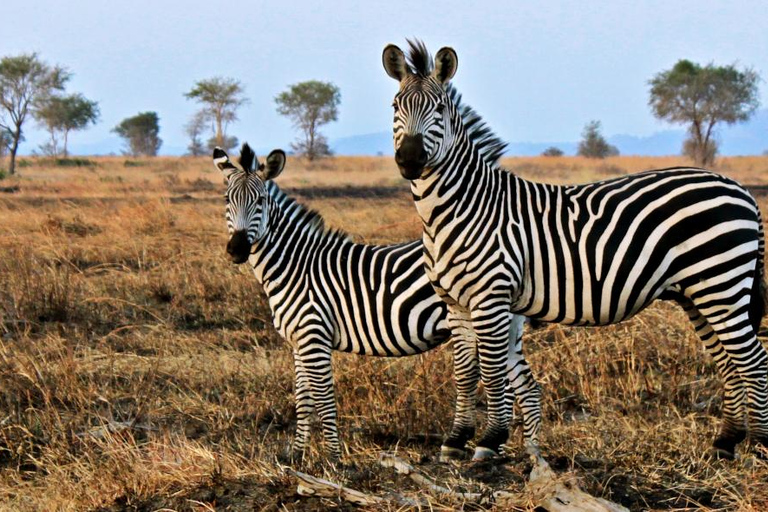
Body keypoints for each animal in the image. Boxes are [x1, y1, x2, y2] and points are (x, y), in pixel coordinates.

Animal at [213, 143, 544, 460]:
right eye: (228, 201)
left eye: (260, 201)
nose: (237, 250)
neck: (296, 265)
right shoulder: (298, 342)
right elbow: (303, 401)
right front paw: (296, 456)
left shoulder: (314, 336)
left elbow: (324, 399)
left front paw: (333, 459)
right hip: (504, 326)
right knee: (527, 388)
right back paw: (524, 455)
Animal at [382, 38, 768, 458]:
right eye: (396, 106)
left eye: (438, 108)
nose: (410, 160)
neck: (459, 210)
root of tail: (740, 188)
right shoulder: (455, 303)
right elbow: (465, 373)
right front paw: (456, 440)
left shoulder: (491, 297)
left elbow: (492, 370)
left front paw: (490, 440)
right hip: (699, 293)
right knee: (729, 362)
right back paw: (726, 441)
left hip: (722, 285)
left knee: (753, 361)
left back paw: (761, 444)